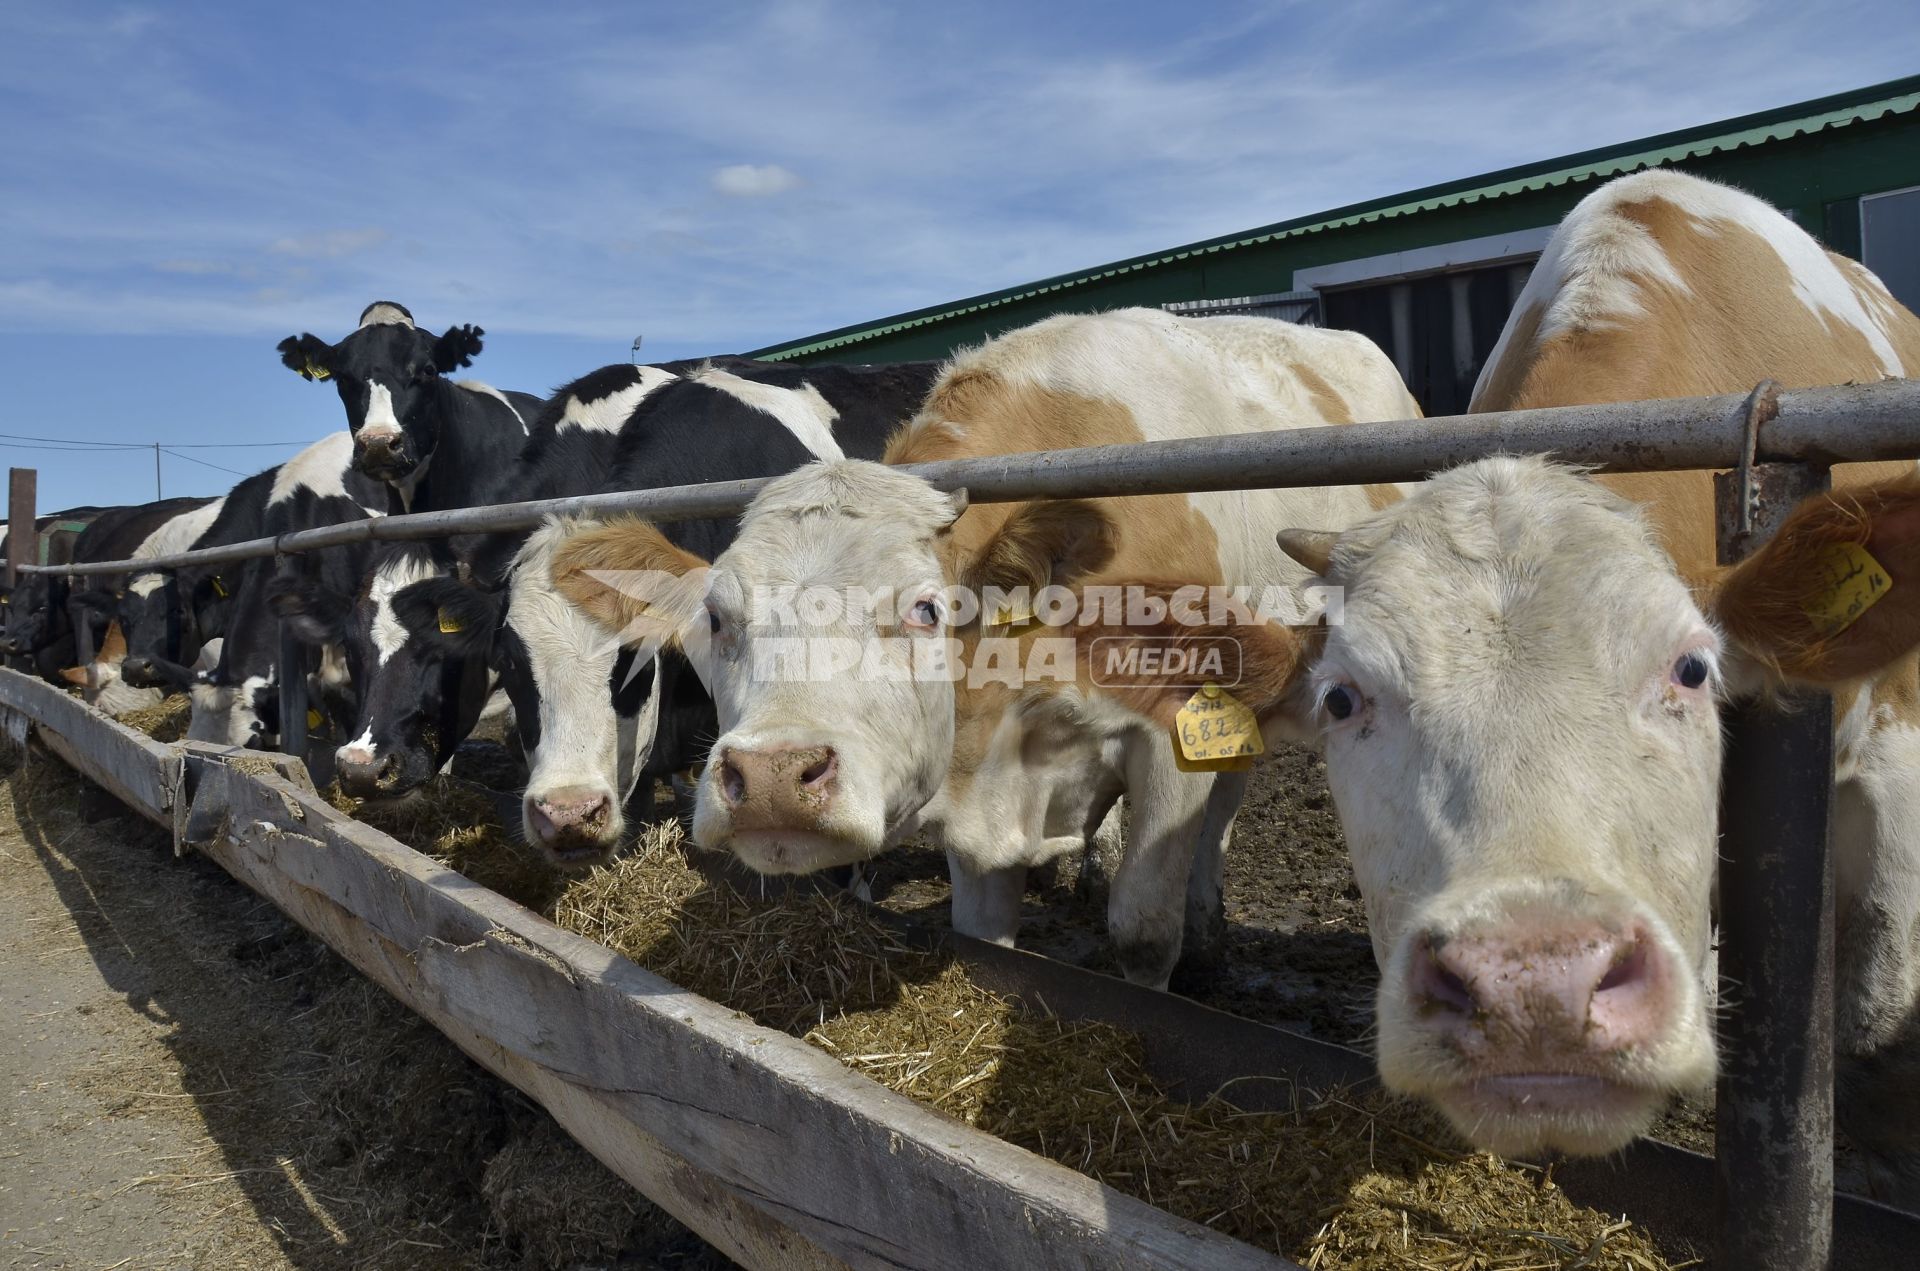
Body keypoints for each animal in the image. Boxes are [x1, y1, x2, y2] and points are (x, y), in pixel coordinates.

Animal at [549, 309, 1420, 983]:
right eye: (719, 617)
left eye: (926, 608)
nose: (769, 780)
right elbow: (985, 935)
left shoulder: (1172, 739)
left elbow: (1143, 932)